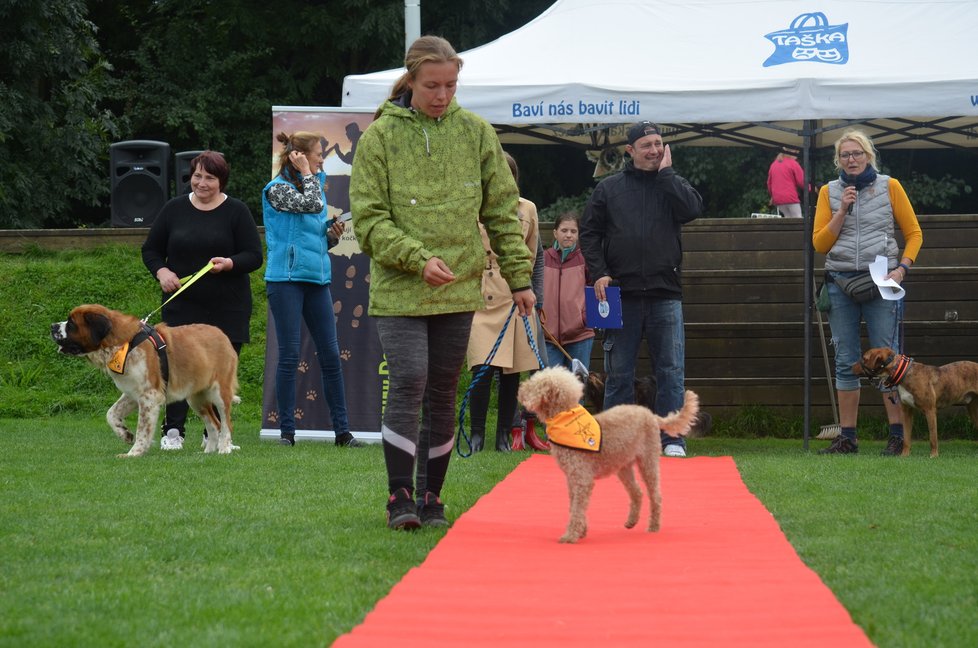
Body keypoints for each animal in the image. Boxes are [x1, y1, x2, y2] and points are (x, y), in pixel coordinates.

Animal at [51, 306, 240, 458]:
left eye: (71, 323)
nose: (52, 326)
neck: (123, 344)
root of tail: (222, 334)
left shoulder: (149, 396)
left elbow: (142, 428)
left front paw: (133, 453)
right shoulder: (132, 393)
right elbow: (111, 413)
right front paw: (125, 434)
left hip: (219, 392)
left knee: (226, 423)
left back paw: (224, 449)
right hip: (195, 398)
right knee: (214, 424)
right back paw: (208, 452)